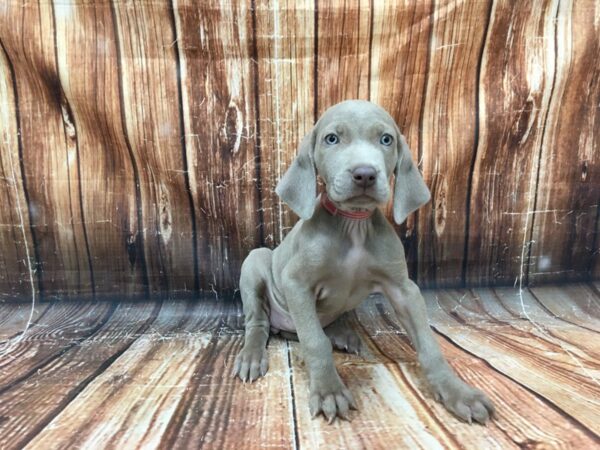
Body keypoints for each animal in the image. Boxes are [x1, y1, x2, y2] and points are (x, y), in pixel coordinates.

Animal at [232, 100, 494, 424]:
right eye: (332, 139)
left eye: (386, 139)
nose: (365, 174)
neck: (354, 225)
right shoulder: (296, 283)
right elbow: (315, 342)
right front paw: (329, 391)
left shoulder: (404, 290)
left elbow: (429, 345)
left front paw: (458, 393)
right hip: (255, 261)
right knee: (260, 323)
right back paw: (253, 355)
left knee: (322, 324)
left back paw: (343, 335)